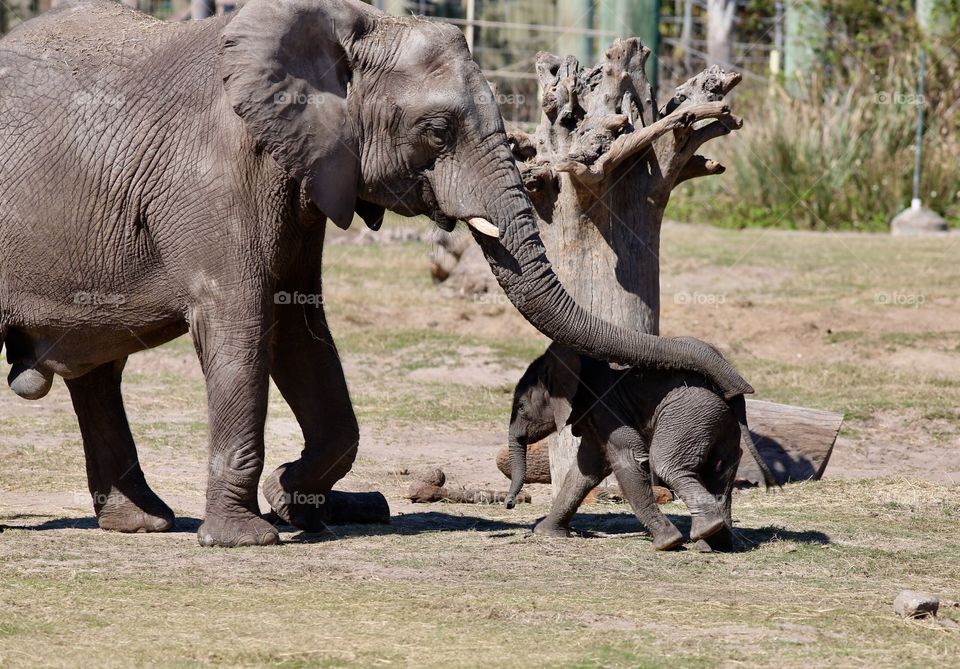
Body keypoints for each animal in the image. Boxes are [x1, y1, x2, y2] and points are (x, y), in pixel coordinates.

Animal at [0, 0, 752, 544]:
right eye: (437, 131)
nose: (737, 384)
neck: (339, 30)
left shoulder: (305, 171)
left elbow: (298, 324)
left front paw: (292, 498)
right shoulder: (217, 177)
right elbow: (243, 319)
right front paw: (250, 536)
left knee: (98, 375)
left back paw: (144, 523)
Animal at [506, 342, 776, 552]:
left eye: (521, 407)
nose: (510, 503)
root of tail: (732, 395)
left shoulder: (605, 406)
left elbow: (627, 458)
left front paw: (667, 543)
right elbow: (587, 469)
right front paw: (545, 532)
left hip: (690, 412)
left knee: (666, 462)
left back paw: (705, 530)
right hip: (717, 420)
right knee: (721, 469)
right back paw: (714, 544)